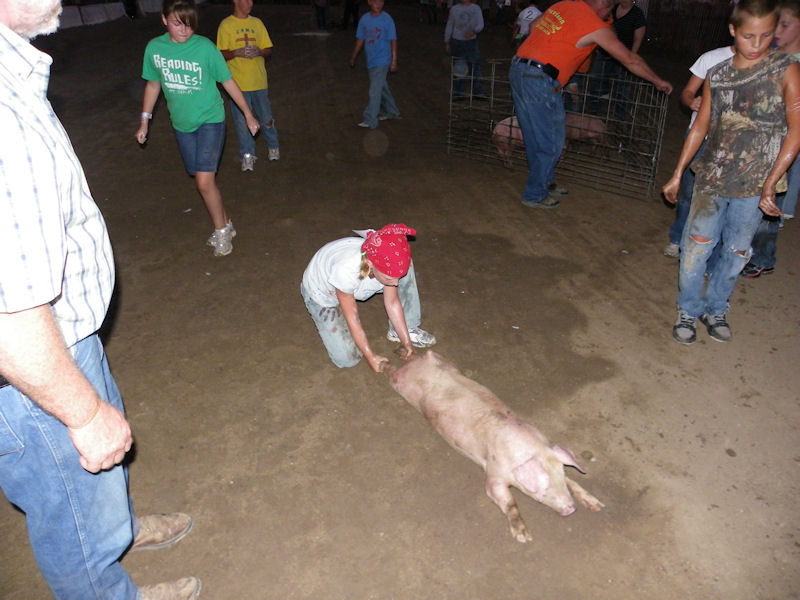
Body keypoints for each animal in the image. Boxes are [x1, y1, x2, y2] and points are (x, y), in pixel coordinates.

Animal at [388, 350, 604, 543]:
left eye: (560, 478)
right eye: (543, 491)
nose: (571, 509)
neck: (529, 451)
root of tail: (417, 360)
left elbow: (573, 481)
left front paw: (598, 505)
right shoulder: (493, 473)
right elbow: (508, 501)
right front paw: (524, 537)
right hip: (402, 384)